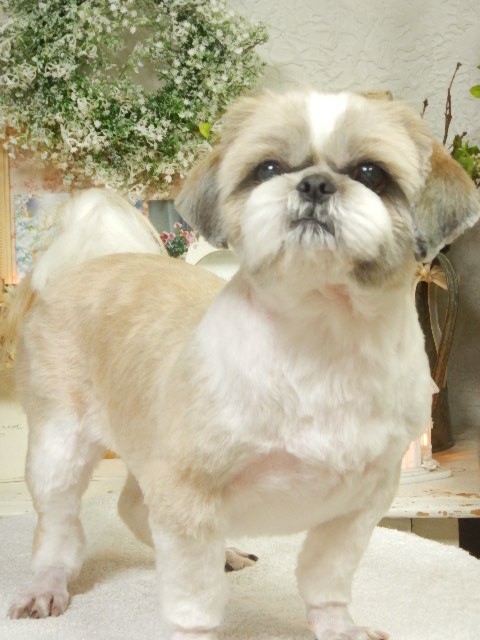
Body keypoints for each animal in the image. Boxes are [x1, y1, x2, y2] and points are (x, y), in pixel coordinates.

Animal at [5, 89, 480, 639]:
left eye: (371, 173)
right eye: (268, 167)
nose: (314, 183)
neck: (318, 342)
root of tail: (88, 264)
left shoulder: (360, 504)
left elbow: (327, 574)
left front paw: (338, 627)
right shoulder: (188, 493)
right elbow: (195, 598)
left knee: (133, 507)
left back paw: (225, 553)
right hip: (59, 447)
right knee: (59, 527)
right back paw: (48, 585)